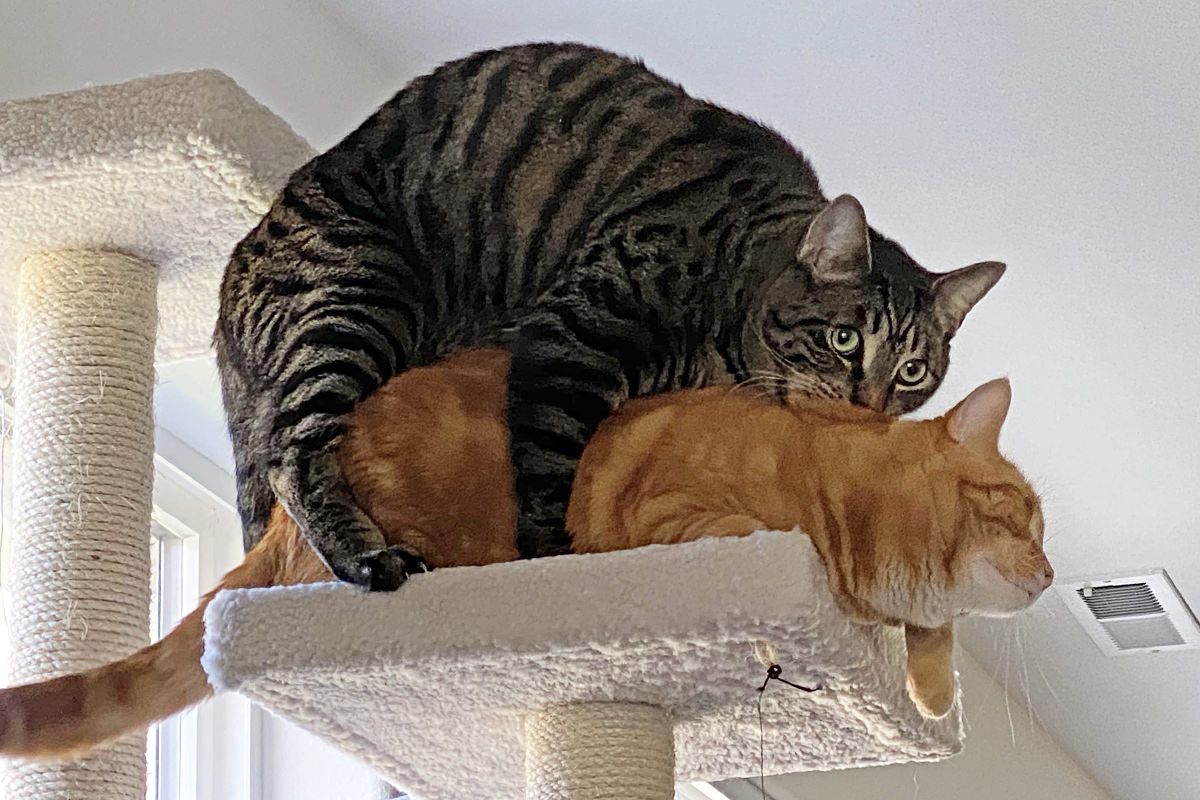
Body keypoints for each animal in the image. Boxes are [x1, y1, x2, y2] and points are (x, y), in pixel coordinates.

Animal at [0, 347, 1051, 758]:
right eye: (1026, 518)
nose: (1049, 575)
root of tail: (275, 528)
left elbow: (931, 636)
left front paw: (930, 689)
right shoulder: (674, 522)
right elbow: (796, 561)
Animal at [216, 40, 1003, 587]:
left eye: (913, 371)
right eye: (843, 339)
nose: (869, 405)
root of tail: (230, 286)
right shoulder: (568, 343)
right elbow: (545, 473)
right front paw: (557, 558)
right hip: (362, 296)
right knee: (293, 452)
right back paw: (364, 555)